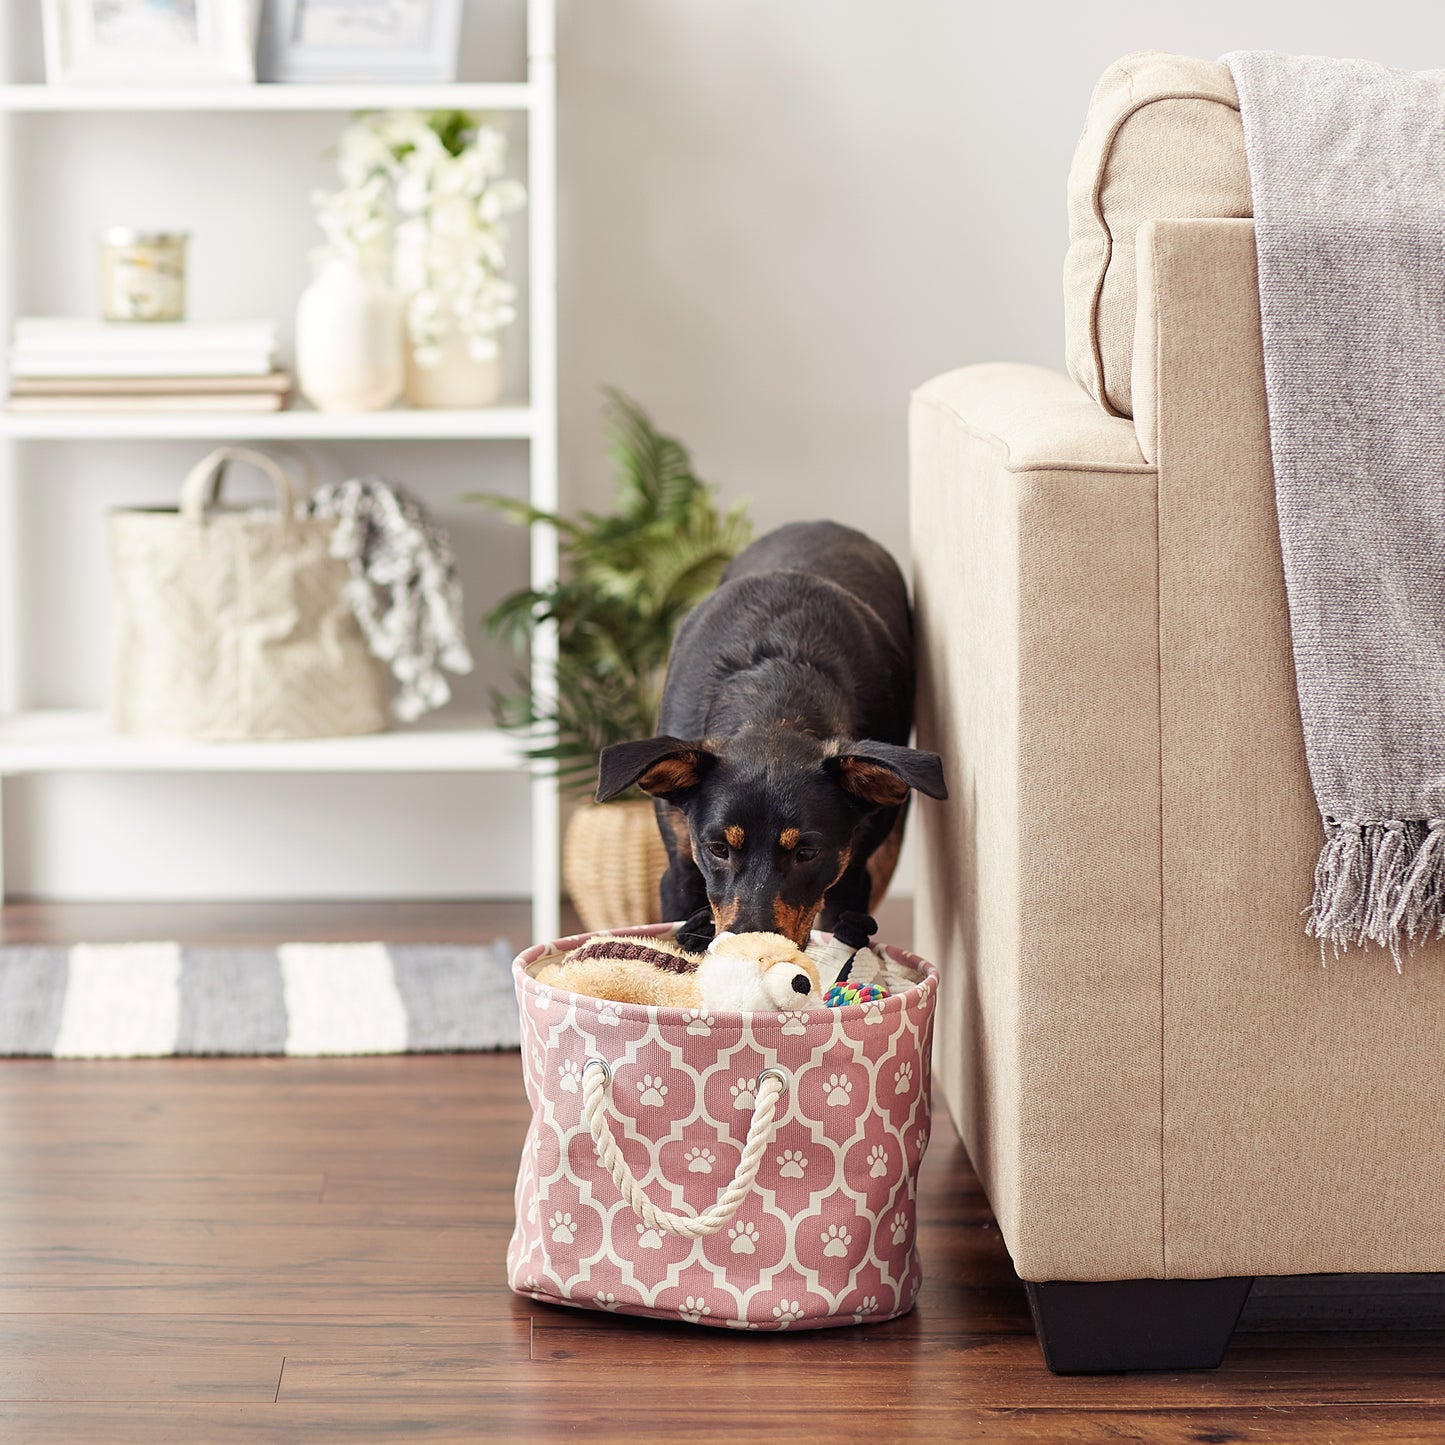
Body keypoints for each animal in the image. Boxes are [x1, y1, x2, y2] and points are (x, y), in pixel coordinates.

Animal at [592, 520, 942, 947]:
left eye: (807, 853)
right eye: (717, 848)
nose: (752, 945)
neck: (776, 705)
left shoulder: (852, 877)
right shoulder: (679, 870)